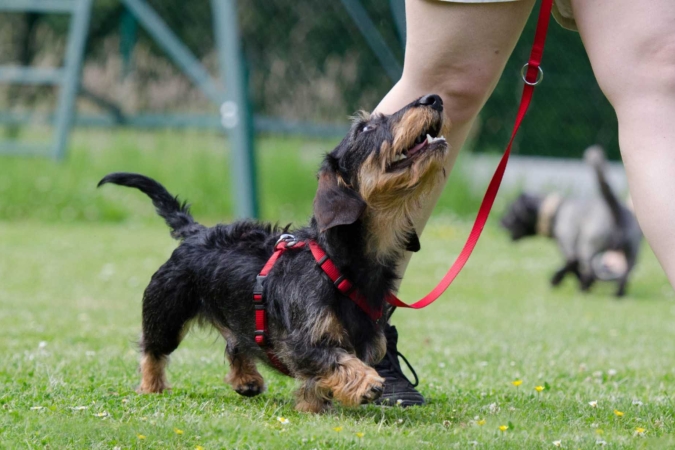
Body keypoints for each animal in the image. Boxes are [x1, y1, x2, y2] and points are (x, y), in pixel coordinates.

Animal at [97, 93, 448, 414]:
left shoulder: (367, 342)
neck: (337, 262)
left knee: (235, 343)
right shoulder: (302, 343)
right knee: (152, 350)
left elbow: (320, 379)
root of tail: (196, 232)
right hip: (166, 312)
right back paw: (151, 385)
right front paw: (366, 382)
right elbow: (336, 360)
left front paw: (313, 405)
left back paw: (246, 379)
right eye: (365, 128)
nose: (433, 98)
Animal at [502, 146, 644, 298]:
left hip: (588, 247)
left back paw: (583, 288)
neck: (556, 211)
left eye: (511, 211)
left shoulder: (569, 249)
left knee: (589, 271)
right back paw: (617, 294)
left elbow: (571, 267)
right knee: (624, 275)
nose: (500, 222)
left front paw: (556, 280)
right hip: (631, 253)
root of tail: (616, 209)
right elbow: (574, 268)